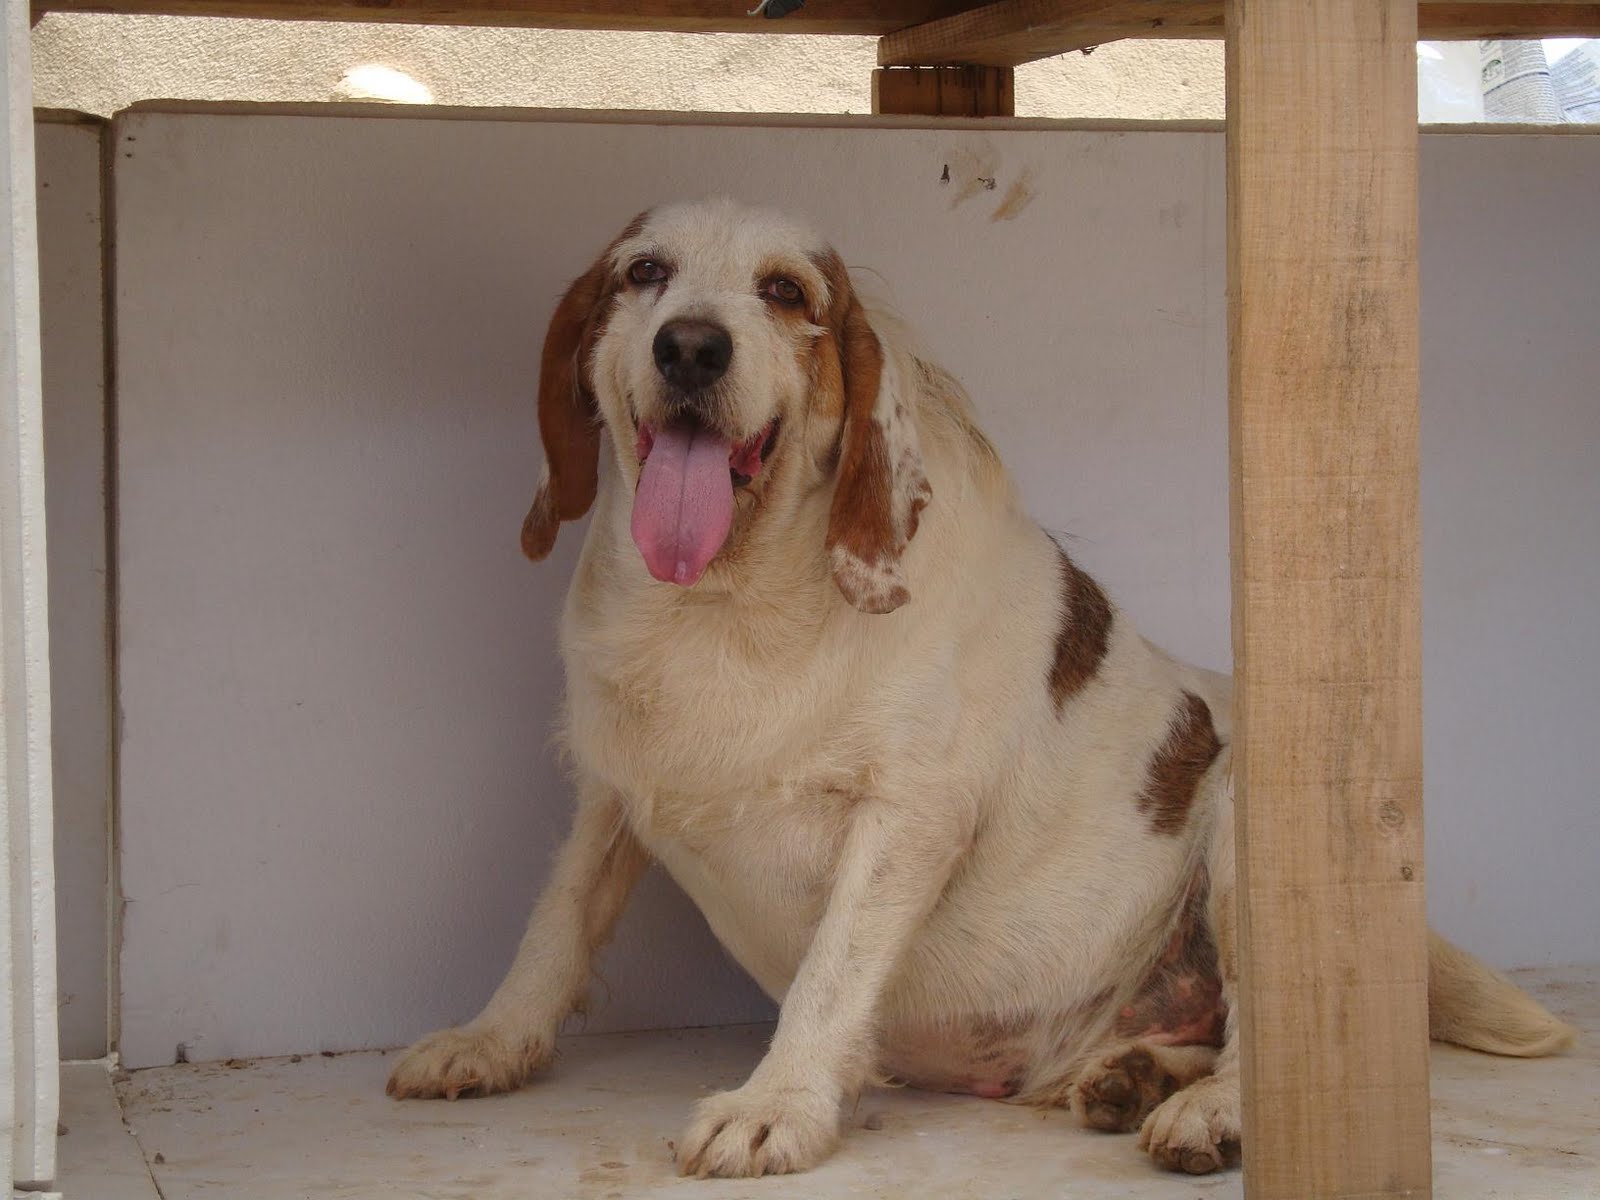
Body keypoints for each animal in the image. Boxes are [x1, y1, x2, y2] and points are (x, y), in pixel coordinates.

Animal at [387, 200, 1574, 1184]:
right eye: (644, 272)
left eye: (786, 293)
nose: (690, 344)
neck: (726, 610)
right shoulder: (609, 795)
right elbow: (554, 926)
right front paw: (489, 1042)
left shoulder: (908, 817)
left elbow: (829, 974)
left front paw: (778, 1105)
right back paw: (1130, 1077)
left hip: (1248, 819)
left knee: (1255, 1035)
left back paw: (1208, 1113)